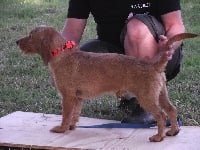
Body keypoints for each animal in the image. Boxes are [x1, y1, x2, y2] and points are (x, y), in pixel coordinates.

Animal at [16, 25, 198, 142]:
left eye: (30, 36)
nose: (17, 42)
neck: (61, 53)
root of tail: (153, 64)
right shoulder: (78, 98)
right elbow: (75, 114)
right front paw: (71, 127)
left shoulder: (67, 96)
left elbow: (66, 115)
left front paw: (61, 129)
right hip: (161, 95)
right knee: (171, 110)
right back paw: (173, 132)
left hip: (147, 98)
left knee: (161, 115)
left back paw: (158, 137)